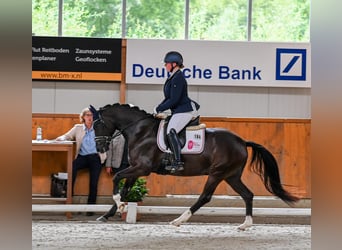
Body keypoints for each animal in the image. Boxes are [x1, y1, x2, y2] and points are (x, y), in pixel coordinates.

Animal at [91, 102, 300, 229]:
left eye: (97, 125)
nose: (100, 148)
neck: (141, 131)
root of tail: (242, 141)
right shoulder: (136, 169)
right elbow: (125, 189)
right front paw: (111, 212)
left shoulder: (142, 168)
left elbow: (117, 177)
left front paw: (119, 206)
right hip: (231, 175)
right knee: (247, 195)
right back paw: (245, 224)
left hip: (217, 173)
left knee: (205, 197)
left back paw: (179, 219)